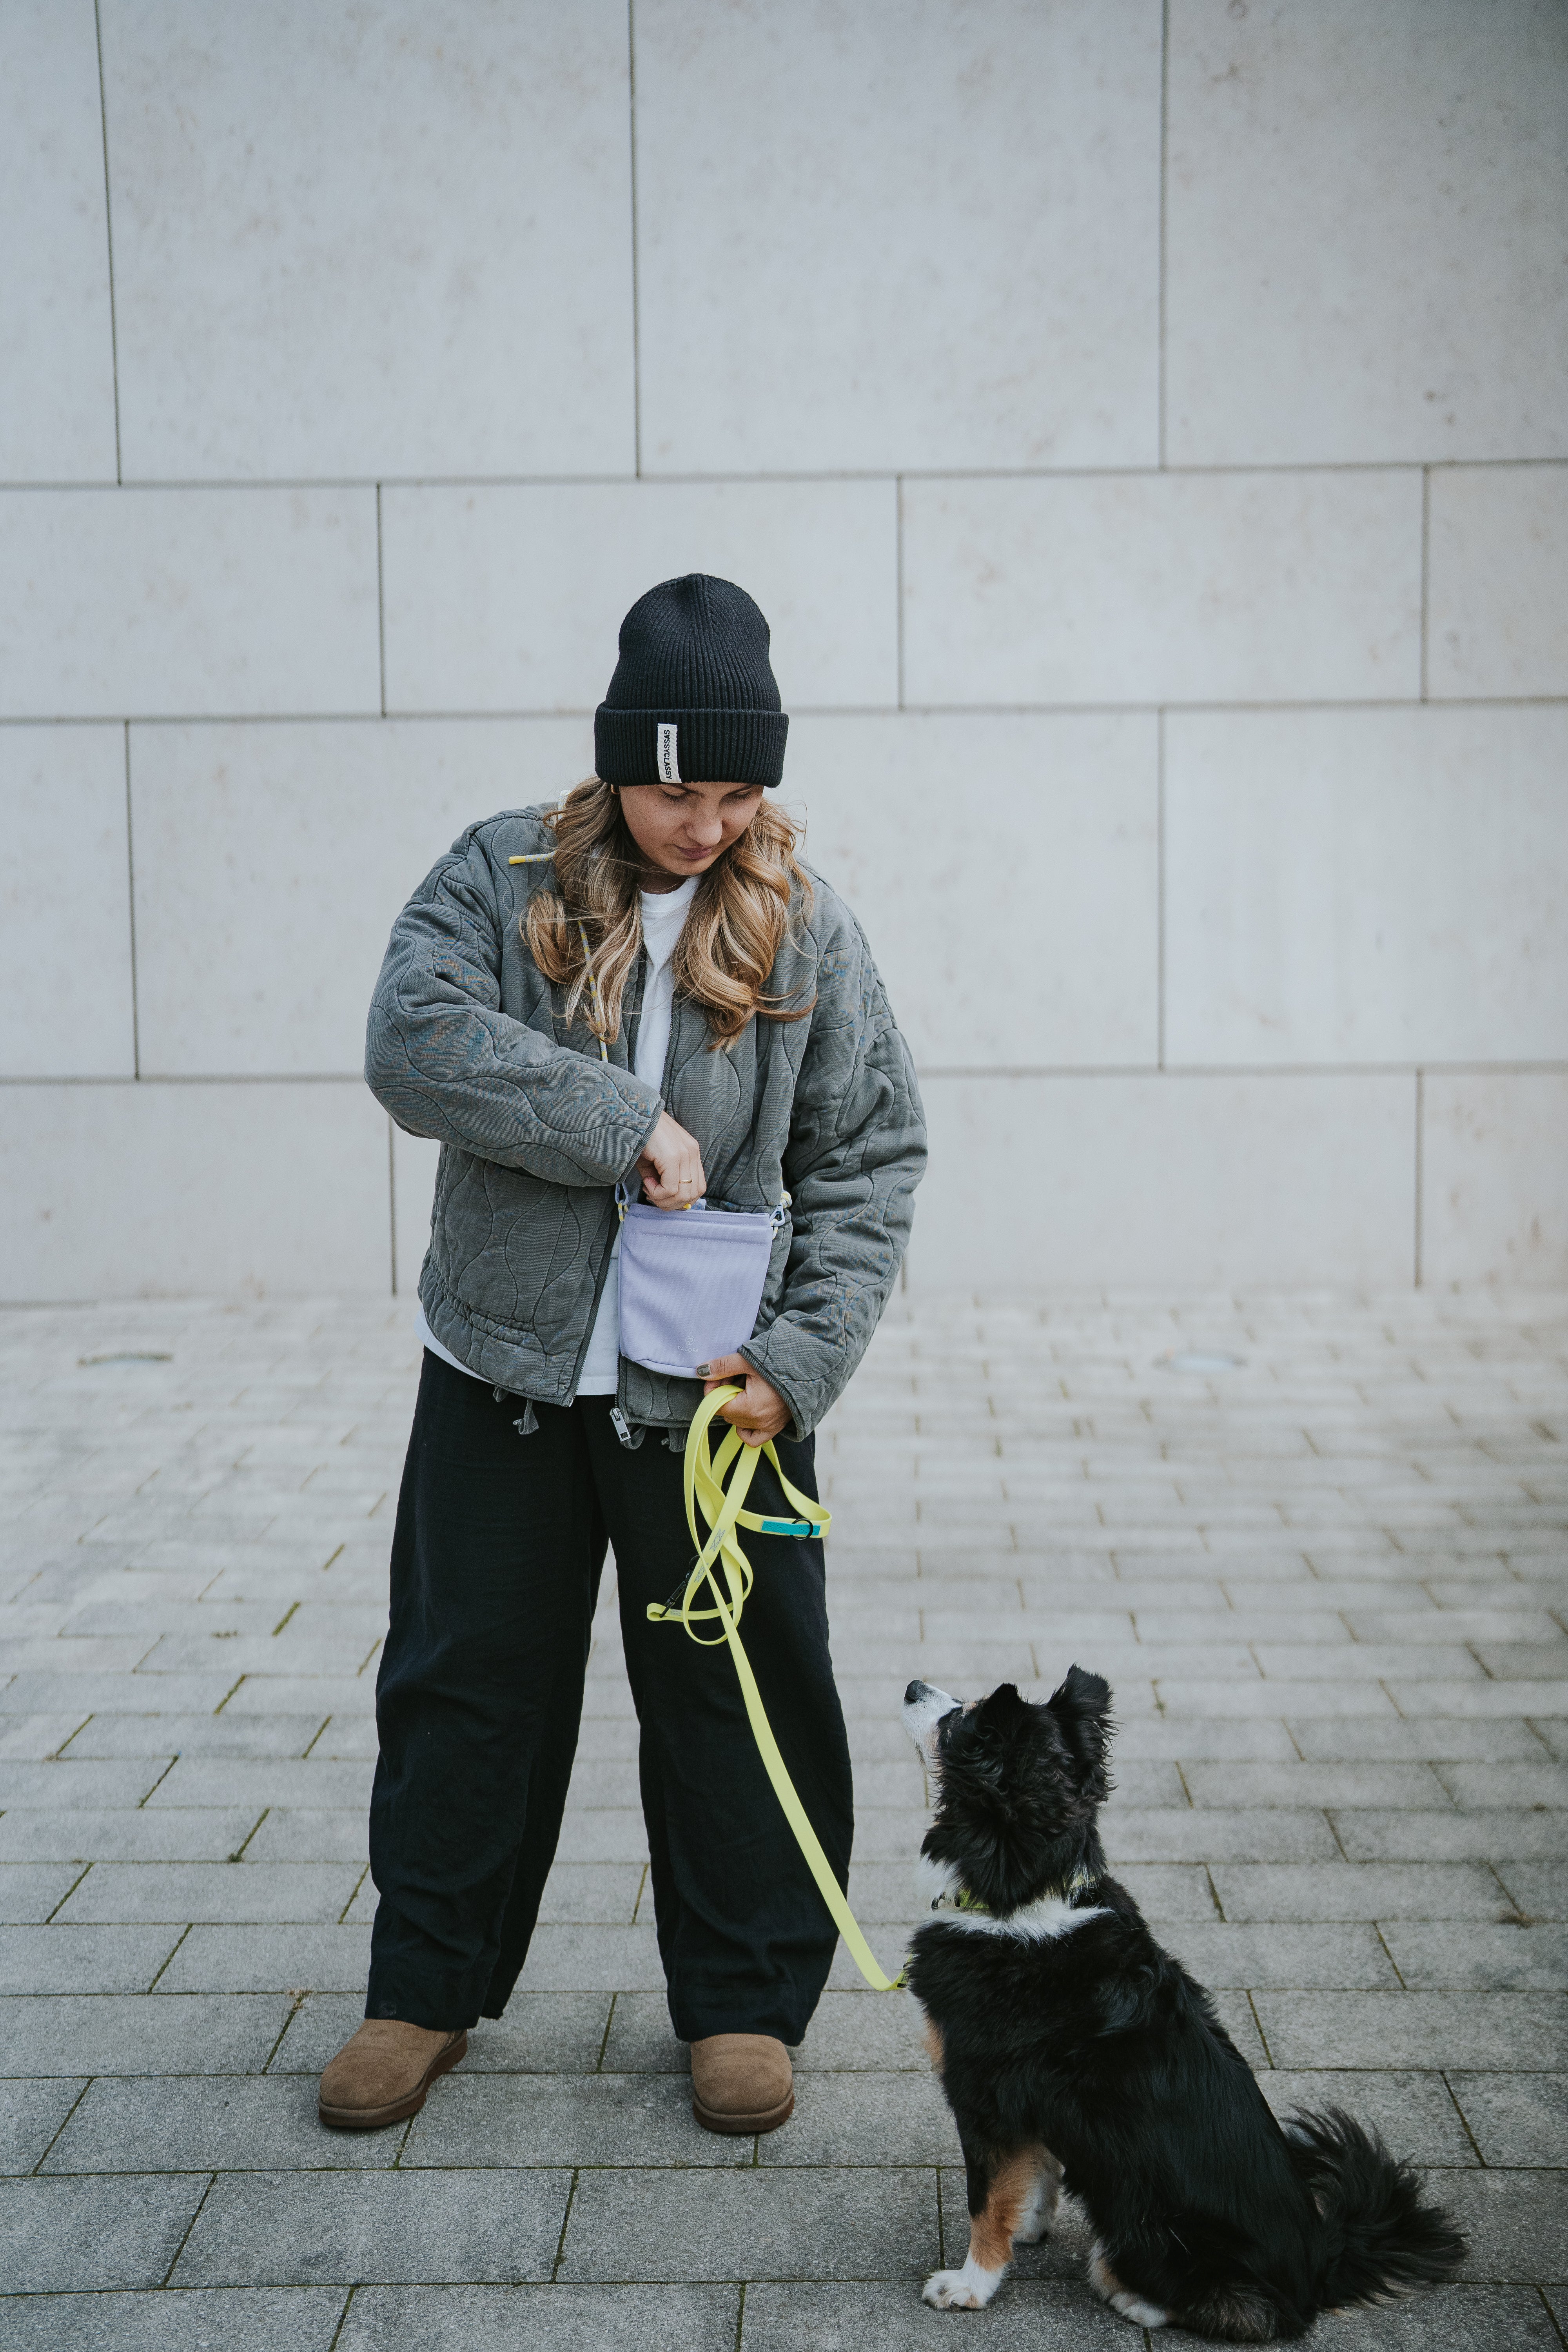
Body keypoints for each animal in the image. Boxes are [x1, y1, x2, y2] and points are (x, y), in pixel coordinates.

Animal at [902, 1675, 1467, 2333]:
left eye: (962, 1719)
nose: (913, 1685)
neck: (1020, 1899)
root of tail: (1321, 2263)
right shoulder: (1031, 2100)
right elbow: (1035, 2171)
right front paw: (1029, 2228)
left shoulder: (983, 2093)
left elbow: (985, 2200)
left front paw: (970, 2284)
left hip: (1146, 2226)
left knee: (1244, 2311)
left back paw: (1130, 2295)